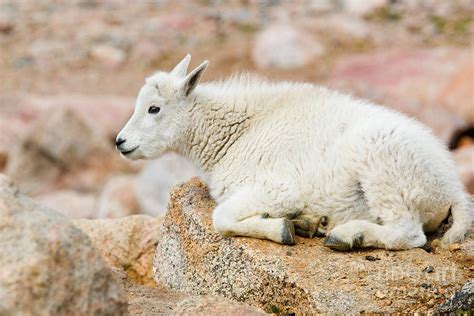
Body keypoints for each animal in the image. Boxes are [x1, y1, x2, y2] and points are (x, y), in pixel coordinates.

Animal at [116, 55, 472, 251]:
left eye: (154, 108)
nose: (120, 142)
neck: (237, 133)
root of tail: (452, 190)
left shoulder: (279, 188)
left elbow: (222, 218)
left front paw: (281, 228)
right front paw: (295, 223)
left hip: (387, 173)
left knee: (409, 234)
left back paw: (347, 235)